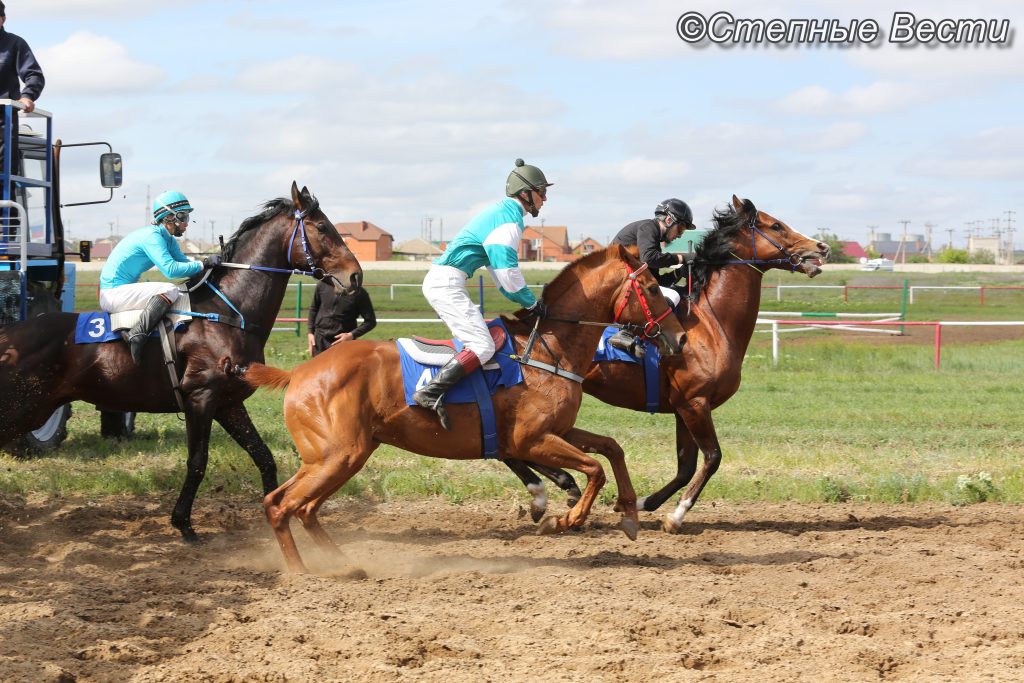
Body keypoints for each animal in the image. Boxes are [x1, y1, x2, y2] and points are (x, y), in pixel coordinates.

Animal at [0, 183, 364, 544]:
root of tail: (9, 334)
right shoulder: (200, 398)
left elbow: (264, 456)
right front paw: (184, 525)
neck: (228, 313)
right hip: (23, 405)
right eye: (322, 227)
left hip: (35, 407)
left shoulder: (228, 403)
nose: (355, 276)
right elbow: (198, 461)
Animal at [242, 242, 684, 573]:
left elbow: (611, 448)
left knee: (299, 507)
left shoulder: (556, 431)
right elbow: (593, 469)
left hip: (339, 457)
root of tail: (298, 373)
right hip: (337, 456)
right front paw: (566, 519)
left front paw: (629, 515)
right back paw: (302, 573)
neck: (546, 349)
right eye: (651, 288)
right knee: (283, 505)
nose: (679, 338)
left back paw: (343, 564)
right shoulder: (530, 439)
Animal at [503, 194, 831, 532]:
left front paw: (642, 503)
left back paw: (555, 487)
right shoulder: (694, 404)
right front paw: (676, 514)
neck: (712, 324)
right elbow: (712, 457)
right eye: (776, 226)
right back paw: (553, 489)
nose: (821, 247)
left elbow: (686, 466)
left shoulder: (684, 408)